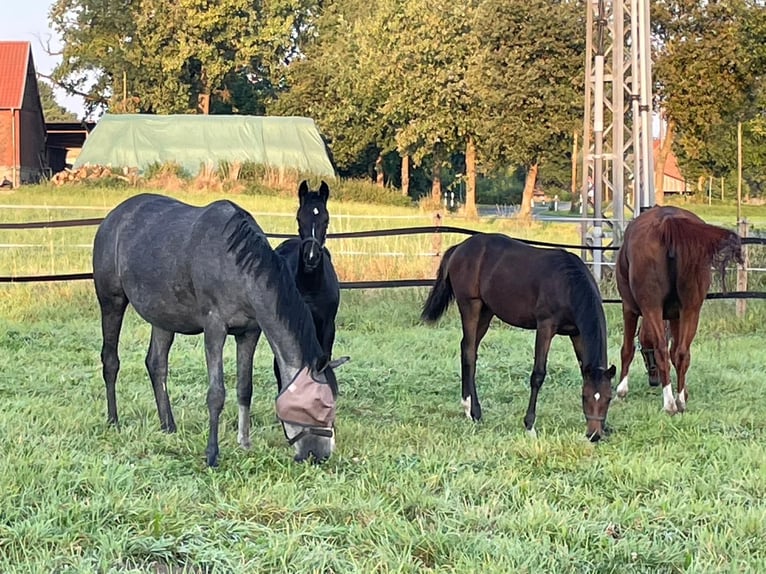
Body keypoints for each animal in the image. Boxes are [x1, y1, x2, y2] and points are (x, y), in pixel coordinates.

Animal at [420, 233, 616, 440]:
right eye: (585, 397)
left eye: (609, 398)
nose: (594, 436)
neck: (568, 283)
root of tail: (459, 248)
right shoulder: (545, 326)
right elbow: (538, 375)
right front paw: (530, 426)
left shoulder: (577, 333)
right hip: (470, 306)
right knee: (469, 353)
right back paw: (471, 410)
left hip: (486, 311)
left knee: (469, 349)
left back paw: (471, 410)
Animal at [616, 206, 744, 414]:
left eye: (645, 351)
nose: (653, 381)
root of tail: (669, 221)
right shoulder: (676, 316)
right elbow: (675, 351)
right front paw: (683, 393)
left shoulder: (629, 308)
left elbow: (627, 349)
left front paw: (621, 390)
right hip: (692, 308)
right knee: (682, 352)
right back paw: (680, 401)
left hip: (651, 306)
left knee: (662, 349)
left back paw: (669, 403)